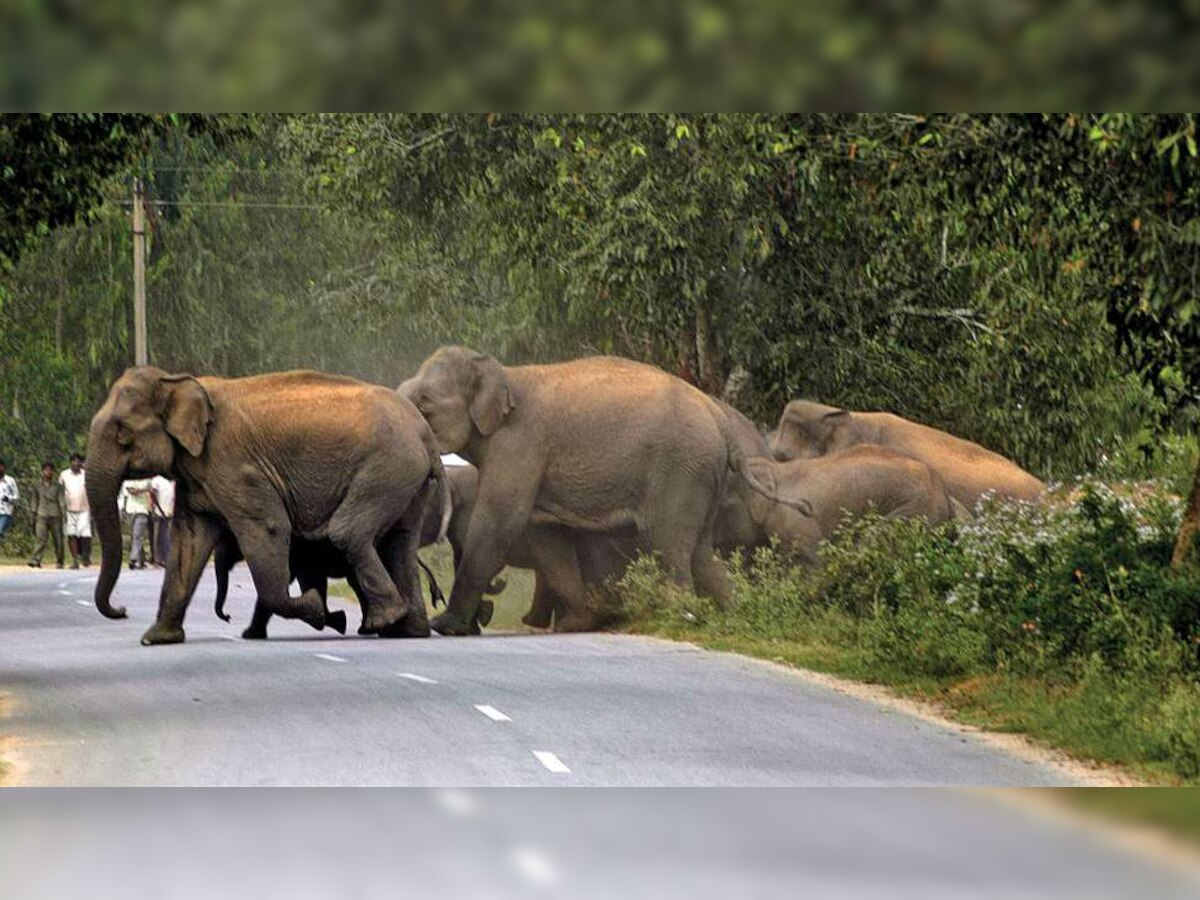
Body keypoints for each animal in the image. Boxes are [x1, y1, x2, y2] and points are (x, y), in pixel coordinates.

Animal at [85, 367, 451, 648]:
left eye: (122, 433)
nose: (122, 609)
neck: (178, 381)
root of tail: (424, 432)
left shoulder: (235, 465)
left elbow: (268, 526)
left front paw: (317, 607)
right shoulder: (197, 474)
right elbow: (189, 542)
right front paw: (157, 639)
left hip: (387, 467)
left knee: (349, 533)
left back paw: (381, 622)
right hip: (407, 477)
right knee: (401, 542)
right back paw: (407, 631)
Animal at [396, 348, 806, 638]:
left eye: (425, 405)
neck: (503, 374)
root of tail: (719, 419)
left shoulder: (520, 445)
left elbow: (499, 522)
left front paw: (446, 627)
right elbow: (546, 536)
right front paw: (577, 622)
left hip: (680, 470)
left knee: (670, 544)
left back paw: (681, 616)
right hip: (702, 475)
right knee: (701, 552)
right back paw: (734, 617)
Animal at [739, 444, 964, 564]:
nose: (806, 507)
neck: (775, 469)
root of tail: (943, 492)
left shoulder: (795, 522)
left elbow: (813, 561)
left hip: (913, 511)